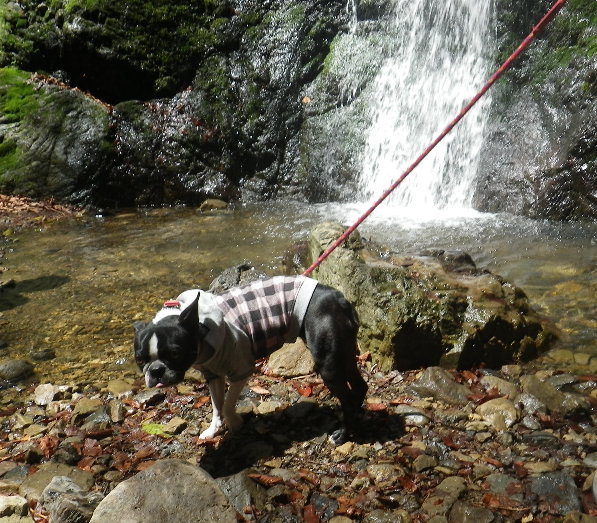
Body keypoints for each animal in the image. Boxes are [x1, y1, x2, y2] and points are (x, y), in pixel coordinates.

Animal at [134, 276, 368, 444]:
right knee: (359, 386)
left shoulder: (241, 370)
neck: (200, 326)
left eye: (175, 353)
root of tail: (340, 298)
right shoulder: (213, 375)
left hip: (328, 363)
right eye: (139, 360)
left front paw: (235, 423)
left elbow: (228, 403)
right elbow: (216, 405)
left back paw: (343, 433)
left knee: (346, 399)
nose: (156, 371)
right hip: (343, 354)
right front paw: (213, 430)